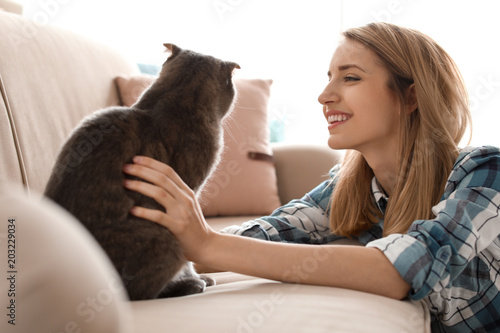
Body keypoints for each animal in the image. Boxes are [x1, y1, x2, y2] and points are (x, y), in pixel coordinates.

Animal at [44, 42, 239, 300]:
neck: (175, 98)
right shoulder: (186, 197)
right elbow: (189, 261)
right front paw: (197, 278)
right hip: (169, 242)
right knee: (140, 292)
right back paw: (188, 286)